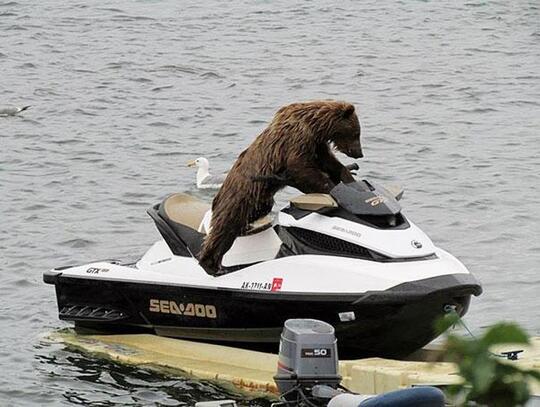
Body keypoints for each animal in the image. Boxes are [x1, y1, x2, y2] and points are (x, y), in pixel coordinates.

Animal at [198, 100, 362, 276]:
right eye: (356, 133)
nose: (359, 153)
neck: (315, 125)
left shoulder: (316, 144)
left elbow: (329, 163)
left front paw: (348, 177)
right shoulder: (296, 140)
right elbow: (302, 169)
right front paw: (331, 188)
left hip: (259, 200)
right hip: (237, 199)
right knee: (223, 230)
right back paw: (212, 265)